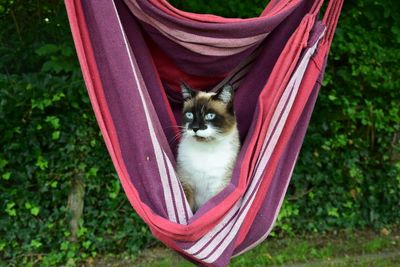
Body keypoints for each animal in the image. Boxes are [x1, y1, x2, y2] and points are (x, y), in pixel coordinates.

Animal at [177, 82, 239, 213]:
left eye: (210, 116)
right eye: (189, 115)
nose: (195, 128)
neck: (204, 149)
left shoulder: (218, 188)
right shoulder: (186, 182)